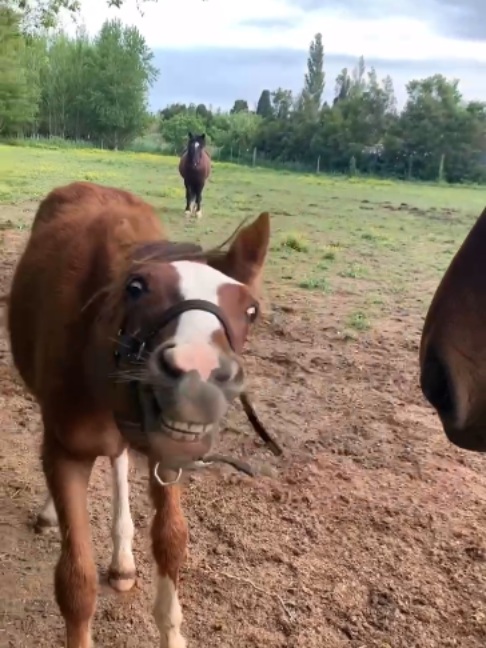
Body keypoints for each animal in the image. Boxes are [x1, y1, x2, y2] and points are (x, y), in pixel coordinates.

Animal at [6, 180, 271, 648]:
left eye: (251, 310)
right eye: (136, 288)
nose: (198, 376)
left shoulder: (167, 452)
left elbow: (172, 540)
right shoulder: (67, 449)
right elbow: (75, 584)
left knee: (118, 458)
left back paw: (123, 559)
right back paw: (53, 513)